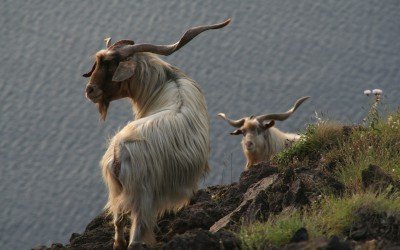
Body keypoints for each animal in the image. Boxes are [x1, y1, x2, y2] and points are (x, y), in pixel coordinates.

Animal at [82, 18, 231, 249]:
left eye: (111, 65)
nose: (90, 91)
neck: (167, 83)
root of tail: (118, 155)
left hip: (118, 193)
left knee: (118, 225)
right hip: (143, 197)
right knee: (135, 237)